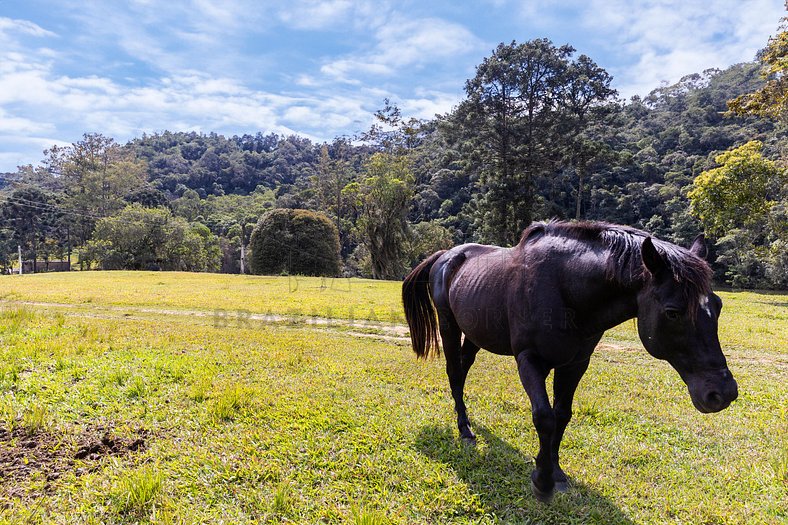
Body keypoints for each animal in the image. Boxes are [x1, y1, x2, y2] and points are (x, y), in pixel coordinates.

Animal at [404, 219, 736, 502]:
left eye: (718, 305)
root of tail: (447, 255)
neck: (564, 290)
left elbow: (562, 416)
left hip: (475, 334)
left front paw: (557, 472)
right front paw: (542, 481)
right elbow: (544, 417)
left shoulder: (575, 364)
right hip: (449, 325)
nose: (722, 393)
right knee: (454, 373)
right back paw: (464, 429)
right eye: (673, 312)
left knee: (462, 369)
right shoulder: (529, 360)